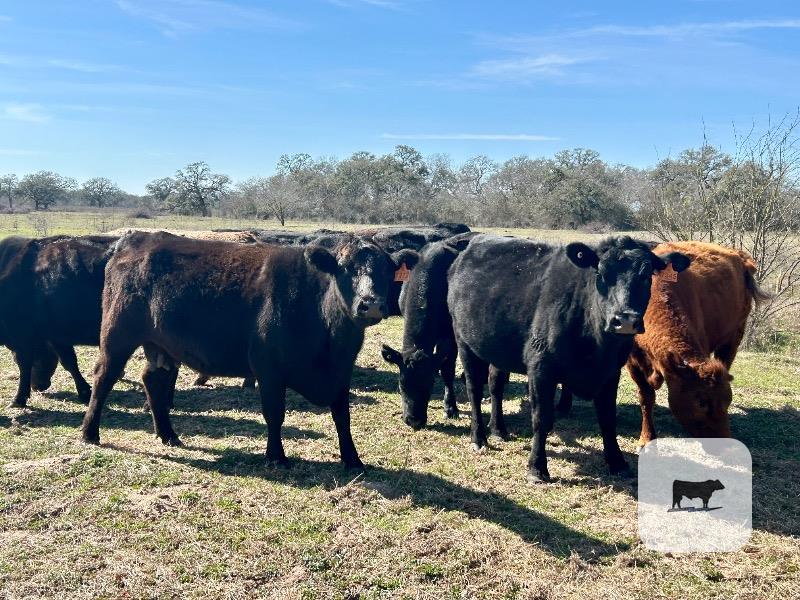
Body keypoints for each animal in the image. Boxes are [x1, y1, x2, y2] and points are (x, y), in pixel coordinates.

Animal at [0, 235, 118, 407]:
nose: (37, 387)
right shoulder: (57, 336)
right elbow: (69, 362)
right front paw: (84, 392)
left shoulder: (22, 337)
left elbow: (24, 364)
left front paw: (19, 398)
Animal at [80, 231, 418, 468]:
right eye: (345, 269)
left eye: (387, 270)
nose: (370, 304)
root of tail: (134, 240)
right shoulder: (269, 370)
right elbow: (275, 414)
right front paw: (276, 456)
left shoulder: (341, 373)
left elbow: (342, 417)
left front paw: (352, 459)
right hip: (117, 337)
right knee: (103, 377)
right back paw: (89, 433)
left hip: (161, 345)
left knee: (153, 380)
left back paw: (168, 435)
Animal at [445, 235, 690, 482]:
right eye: (601, 273)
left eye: (646, 275)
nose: (626, 320)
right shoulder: (541, 368)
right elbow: (541, 418)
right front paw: (537, 467)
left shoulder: (611, 372)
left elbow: (608, 417)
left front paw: (617, 462)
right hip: (464, 343)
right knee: (475, 390)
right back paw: (478, 437)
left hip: (498, 350)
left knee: (495, 386)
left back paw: (498, 430)